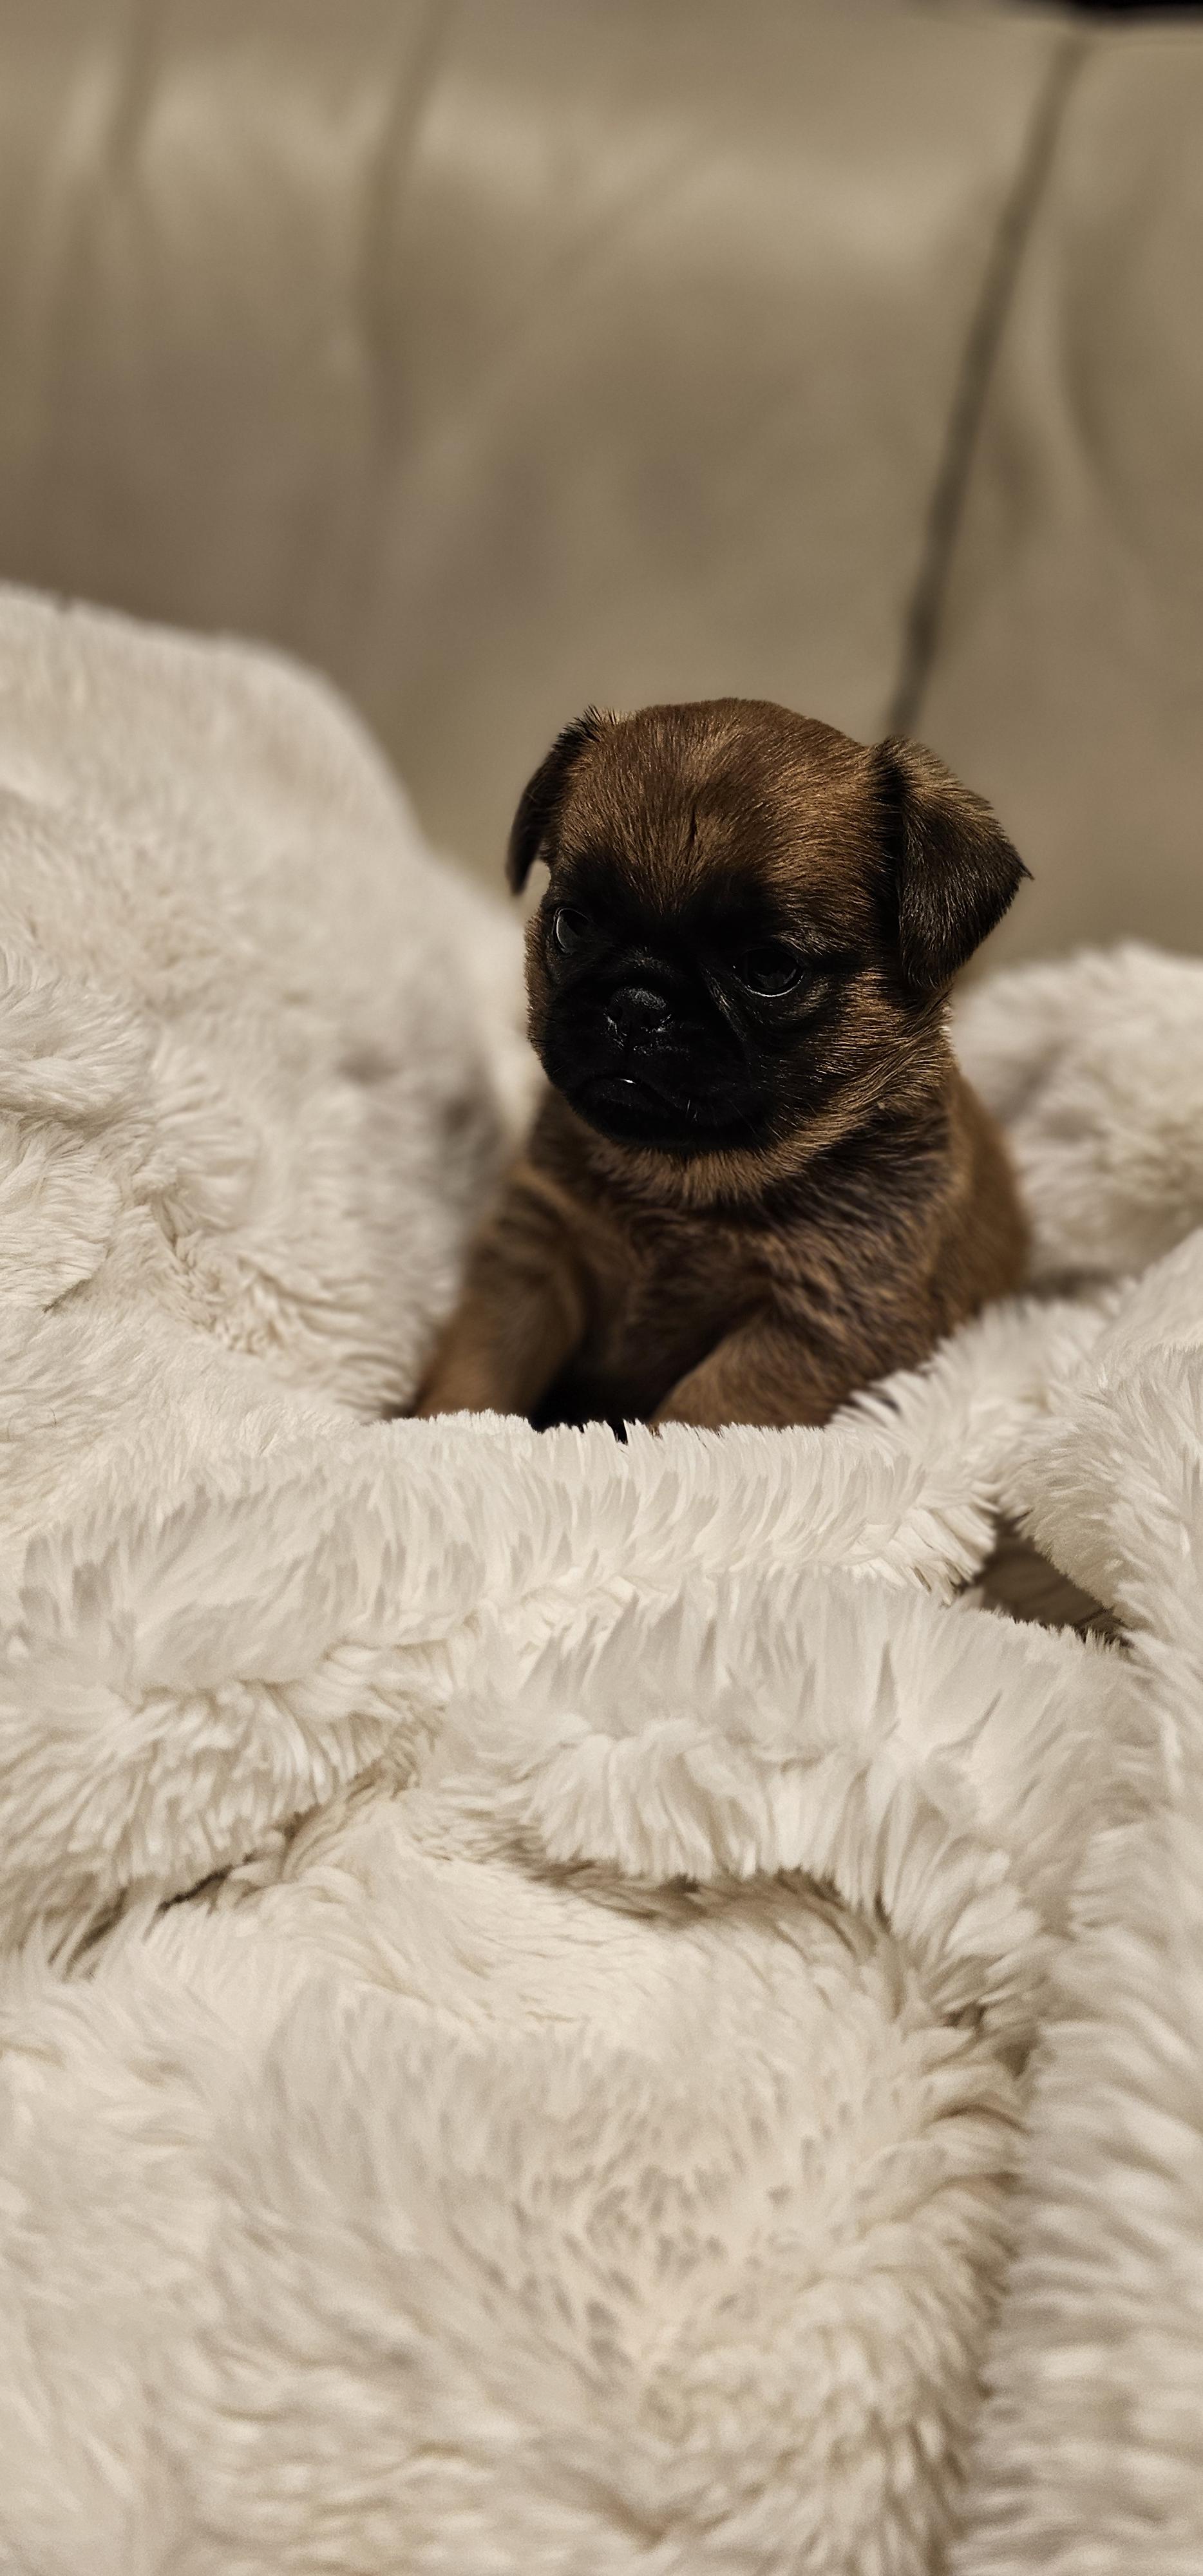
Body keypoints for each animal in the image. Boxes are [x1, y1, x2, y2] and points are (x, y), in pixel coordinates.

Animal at [414, 698, 1029, 1430]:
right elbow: (479, 1373)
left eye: (768, 970)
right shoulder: (532, 1255)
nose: (638, 1002)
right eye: (571, 926)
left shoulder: (809, 1330)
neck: (683, 1178)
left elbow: (695, 1413)